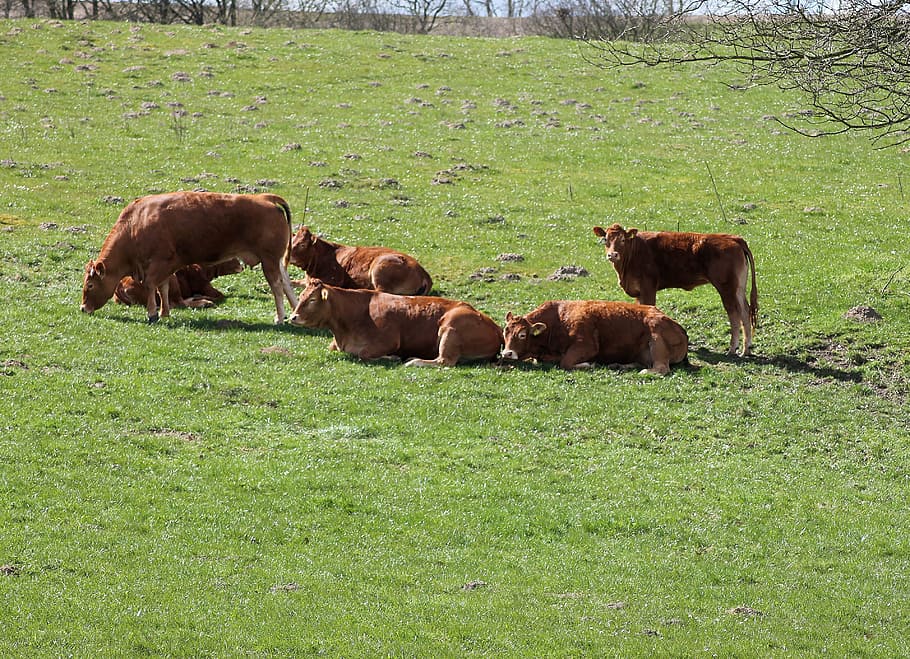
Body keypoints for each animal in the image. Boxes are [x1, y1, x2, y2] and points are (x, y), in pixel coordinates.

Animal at [114, 259, 244, 309]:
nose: (242, 266)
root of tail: (121, 286)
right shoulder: (205, 286)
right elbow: (221, 295)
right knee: (178, 303)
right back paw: (204, 302)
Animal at [288, 278, 502, 367]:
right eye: (302, 296)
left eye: (312, 300)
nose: (293, 317)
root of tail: (496, 328)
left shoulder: (388, 340)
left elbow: (364, 354)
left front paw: (391, 358)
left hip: (452, 325)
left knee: (445, 361)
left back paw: (413, 361)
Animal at [502, 300, 688, 375]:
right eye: (505, 332)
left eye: (522, 334)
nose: (507, 353)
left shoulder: (586, 345)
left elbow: (566, 363)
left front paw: (588, 364)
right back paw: (619, 365)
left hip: (657, 338)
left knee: (661, 368)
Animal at [592, 223, 758, 356]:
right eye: (606, 240)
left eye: (622, 240)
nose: (612, 255)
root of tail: (733, 238)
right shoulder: (639, 292)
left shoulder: (648, 288)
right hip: (739, 288)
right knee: (745, 310)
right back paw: (746, 349)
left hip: (726, 287)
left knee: (734, 313)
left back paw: (732, 349)